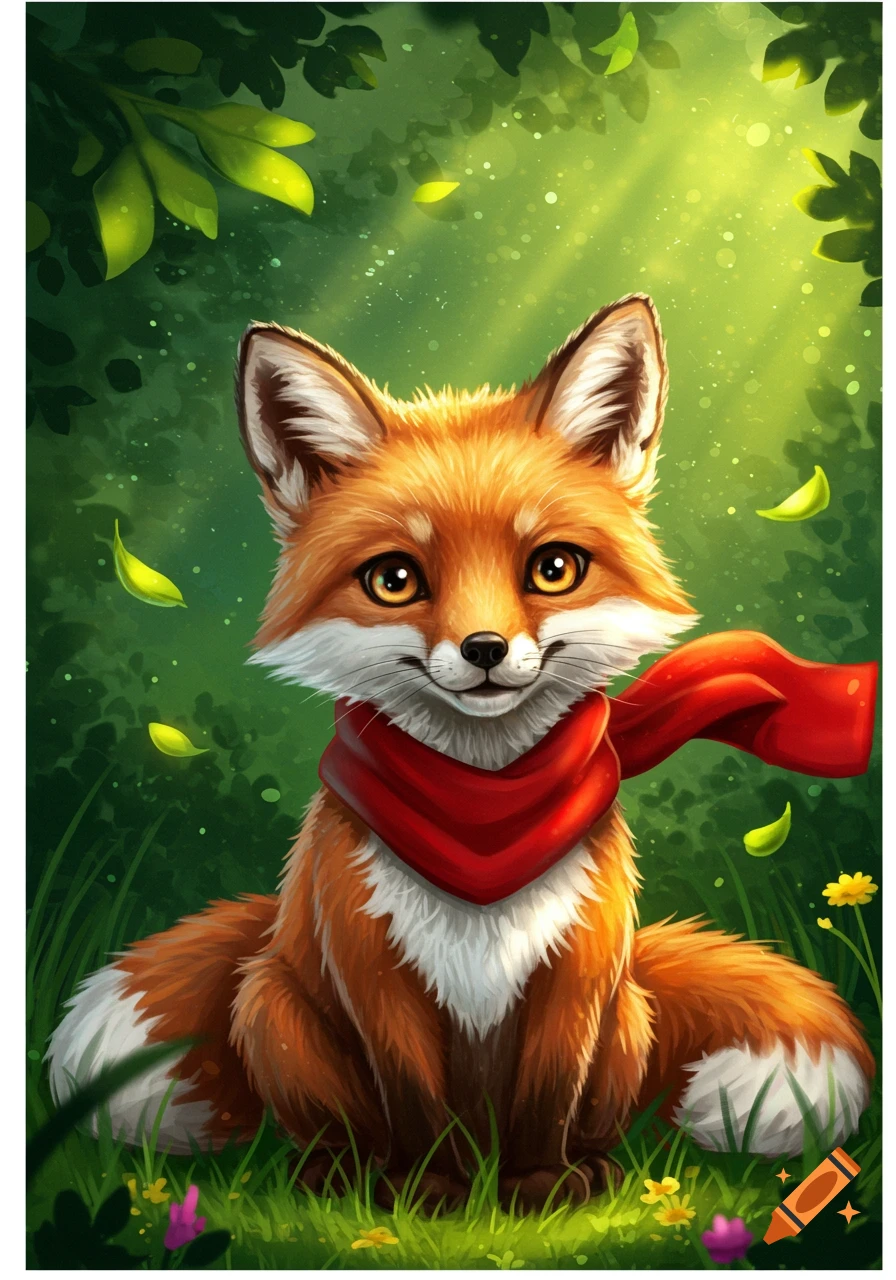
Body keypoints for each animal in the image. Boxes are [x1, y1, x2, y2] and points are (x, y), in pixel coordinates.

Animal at [47, 295, 874, 1210]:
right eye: (394, 580)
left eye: (553, 568)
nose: (484, 650)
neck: (481, 813)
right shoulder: (376, 973)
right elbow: (413, 1101)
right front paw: (428, 1192)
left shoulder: (575, 974)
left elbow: (549, 1097)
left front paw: (539, 1187)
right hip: (270, 1002)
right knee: (336, 1125)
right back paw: (339, 1174)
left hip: (628, 1012)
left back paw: (587, 1168)